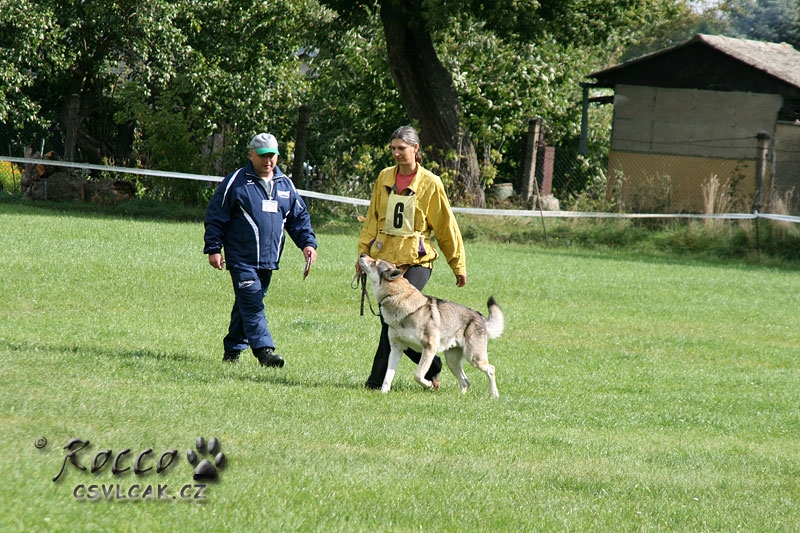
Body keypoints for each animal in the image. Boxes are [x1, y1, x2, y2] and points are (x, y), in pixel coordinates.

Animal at [360, 254, 504, 394]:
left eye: (375, 262)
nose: (362, 254)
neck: (397, 297)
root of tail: (480, 317)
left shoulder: (429, 348)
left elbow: (417, 375)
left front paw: (429, 385)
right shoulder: (396, 349)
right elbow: (387, 377)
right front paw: (383, 394)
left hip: (474, 358)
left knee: (491, 369)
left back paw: (494, 394)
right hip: (452, 361)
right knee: (465, 382)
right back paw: (461, 397)